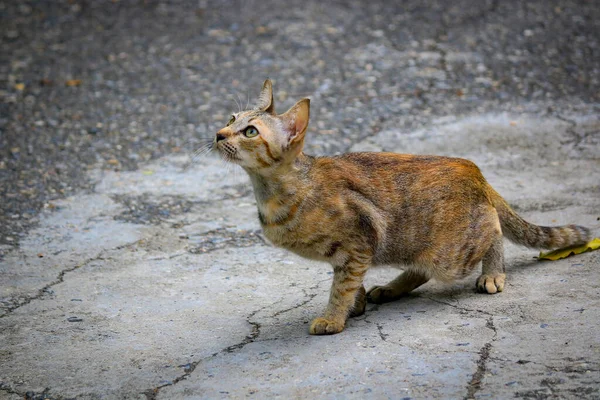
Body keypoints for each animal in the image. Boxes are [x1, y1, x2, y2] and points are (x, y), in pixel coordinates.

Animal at [212, 79, 592, 334]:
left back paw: (493, 273)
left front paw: (334, 317)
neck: (274, 192)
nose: (218, 134)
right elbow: (350, 283)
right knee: (420, 266)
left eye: (249, 131)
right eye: (230, 118)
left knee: (493, 229)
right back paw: (392, 288)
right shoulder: (349, 253)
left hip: (451, 255)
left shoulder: (358, 243)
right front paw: (357, 304)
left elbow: (341, 287)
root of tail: (472, 168)